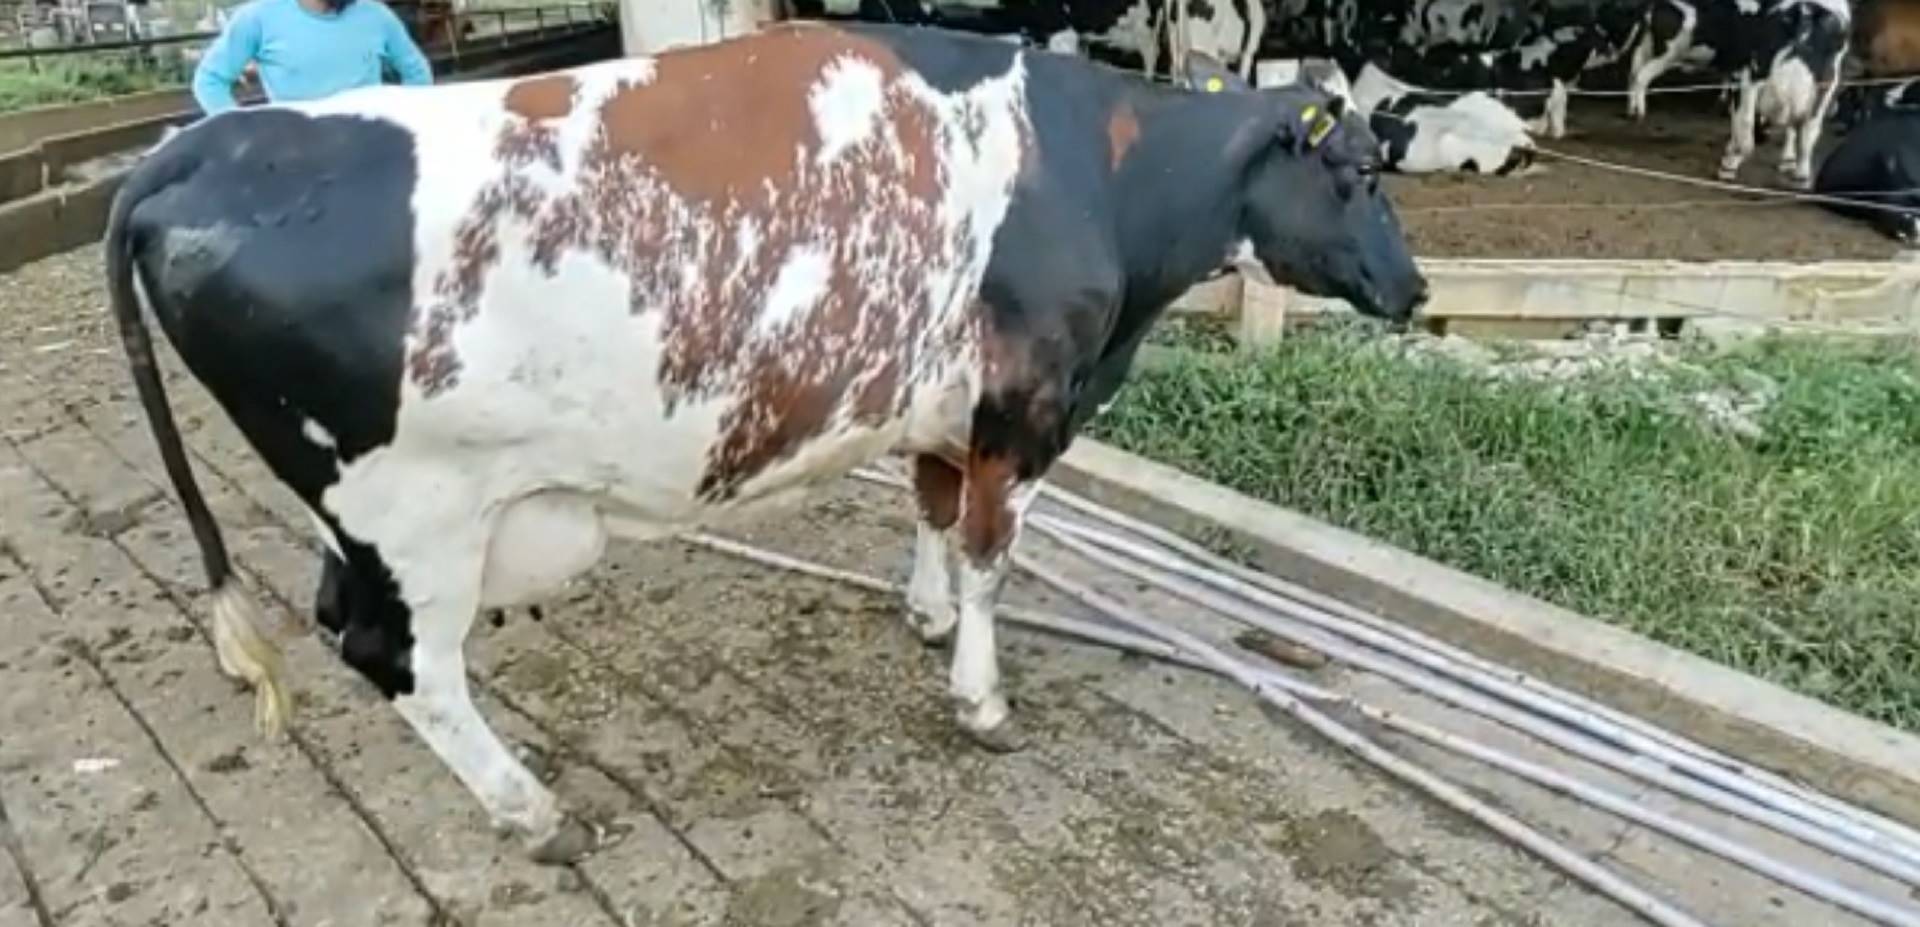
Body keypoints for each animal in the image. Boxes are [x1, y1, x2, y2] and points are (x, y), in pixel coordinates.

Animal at [103, 22, 1426, 863]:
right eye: (1358, 173)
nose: (1414, 290)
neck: (1096, 174)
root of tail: (202, 146)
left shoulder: (937, 402)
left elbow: (931, 511)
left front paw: (924, 614)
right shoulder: (1024, 405)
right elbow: (991, 558)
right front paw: (980, 695)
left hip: (365, 522)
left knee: (348, 628)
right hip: (412, 514)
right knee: (402, 661)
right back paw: (534, 812)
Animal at [1625, 0, 1851, 186]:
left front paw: (1789, 164)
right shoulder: (1744, 79)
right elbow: (1745, 125)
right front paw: (1730, 160)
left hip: (1656, 47)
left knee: (1636, 70)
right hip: (1671, 52)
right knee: (1641, 73)